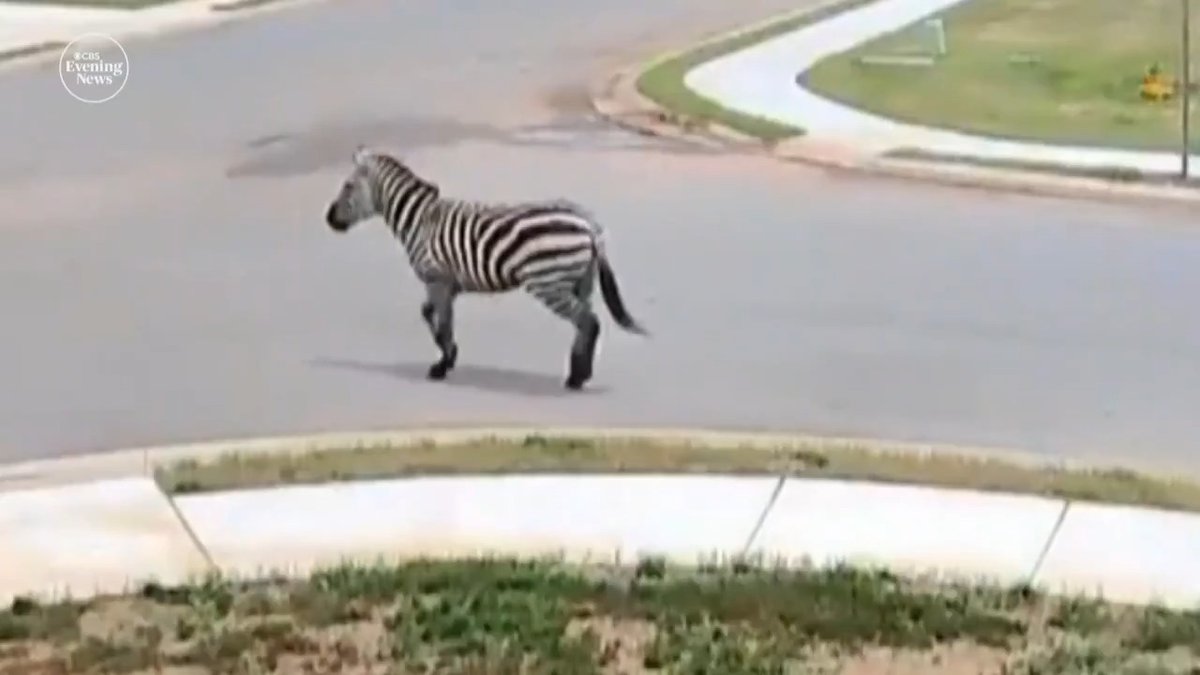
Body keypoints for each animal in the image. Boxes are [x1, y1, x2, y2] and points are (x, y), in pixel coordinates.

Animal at [323, 145, 648, 391]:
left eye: (347, 186)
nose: (329, 219)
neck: (419, 220)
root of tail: (590, 227)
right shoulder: (445, 283)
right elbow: (431, 316)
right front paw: (449, 356)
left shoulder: (438, 280)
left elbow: (442, 322)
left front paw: (442, 365)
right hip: (581, 282)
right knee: (585, 325)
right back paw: (579, 373)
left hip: (549, 283)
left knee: (588, 322)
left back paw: (576, 378)